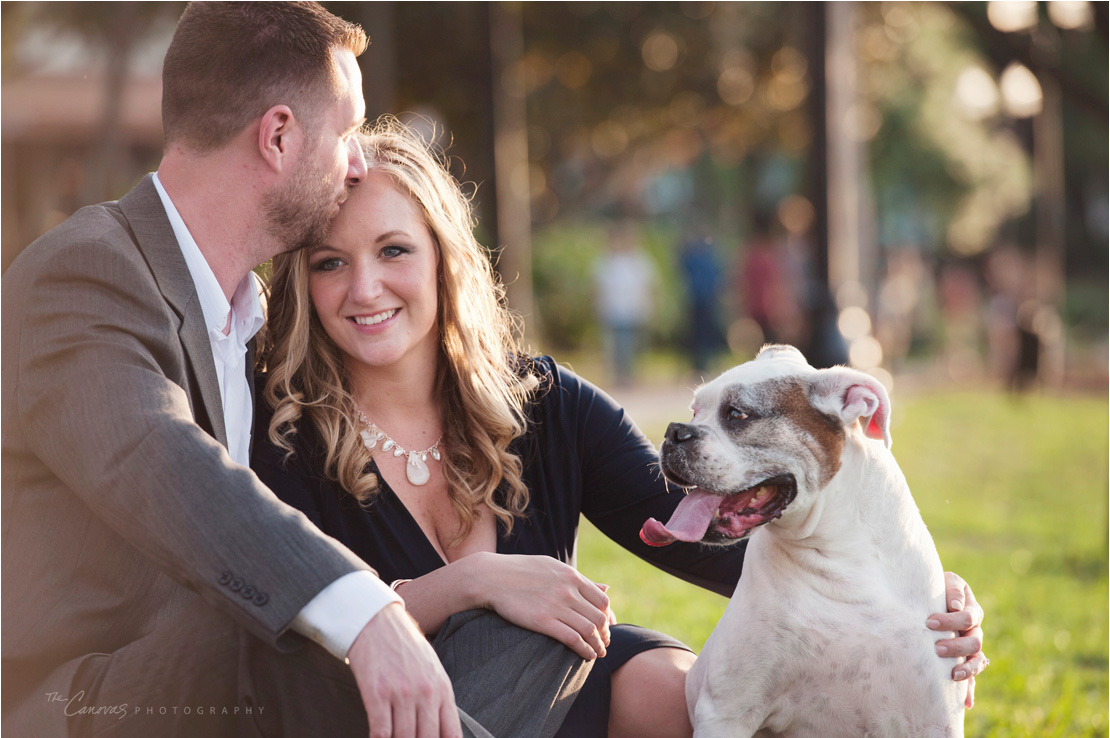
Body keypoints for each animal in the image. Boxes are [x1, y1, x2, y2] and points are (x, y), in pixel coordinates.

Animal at [643, 346, 963, 736]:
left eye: (736, 414)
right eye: (694, 411)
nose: (674, 431)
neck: (839, 559)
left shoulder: (932, 721)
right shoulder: (727, 712)